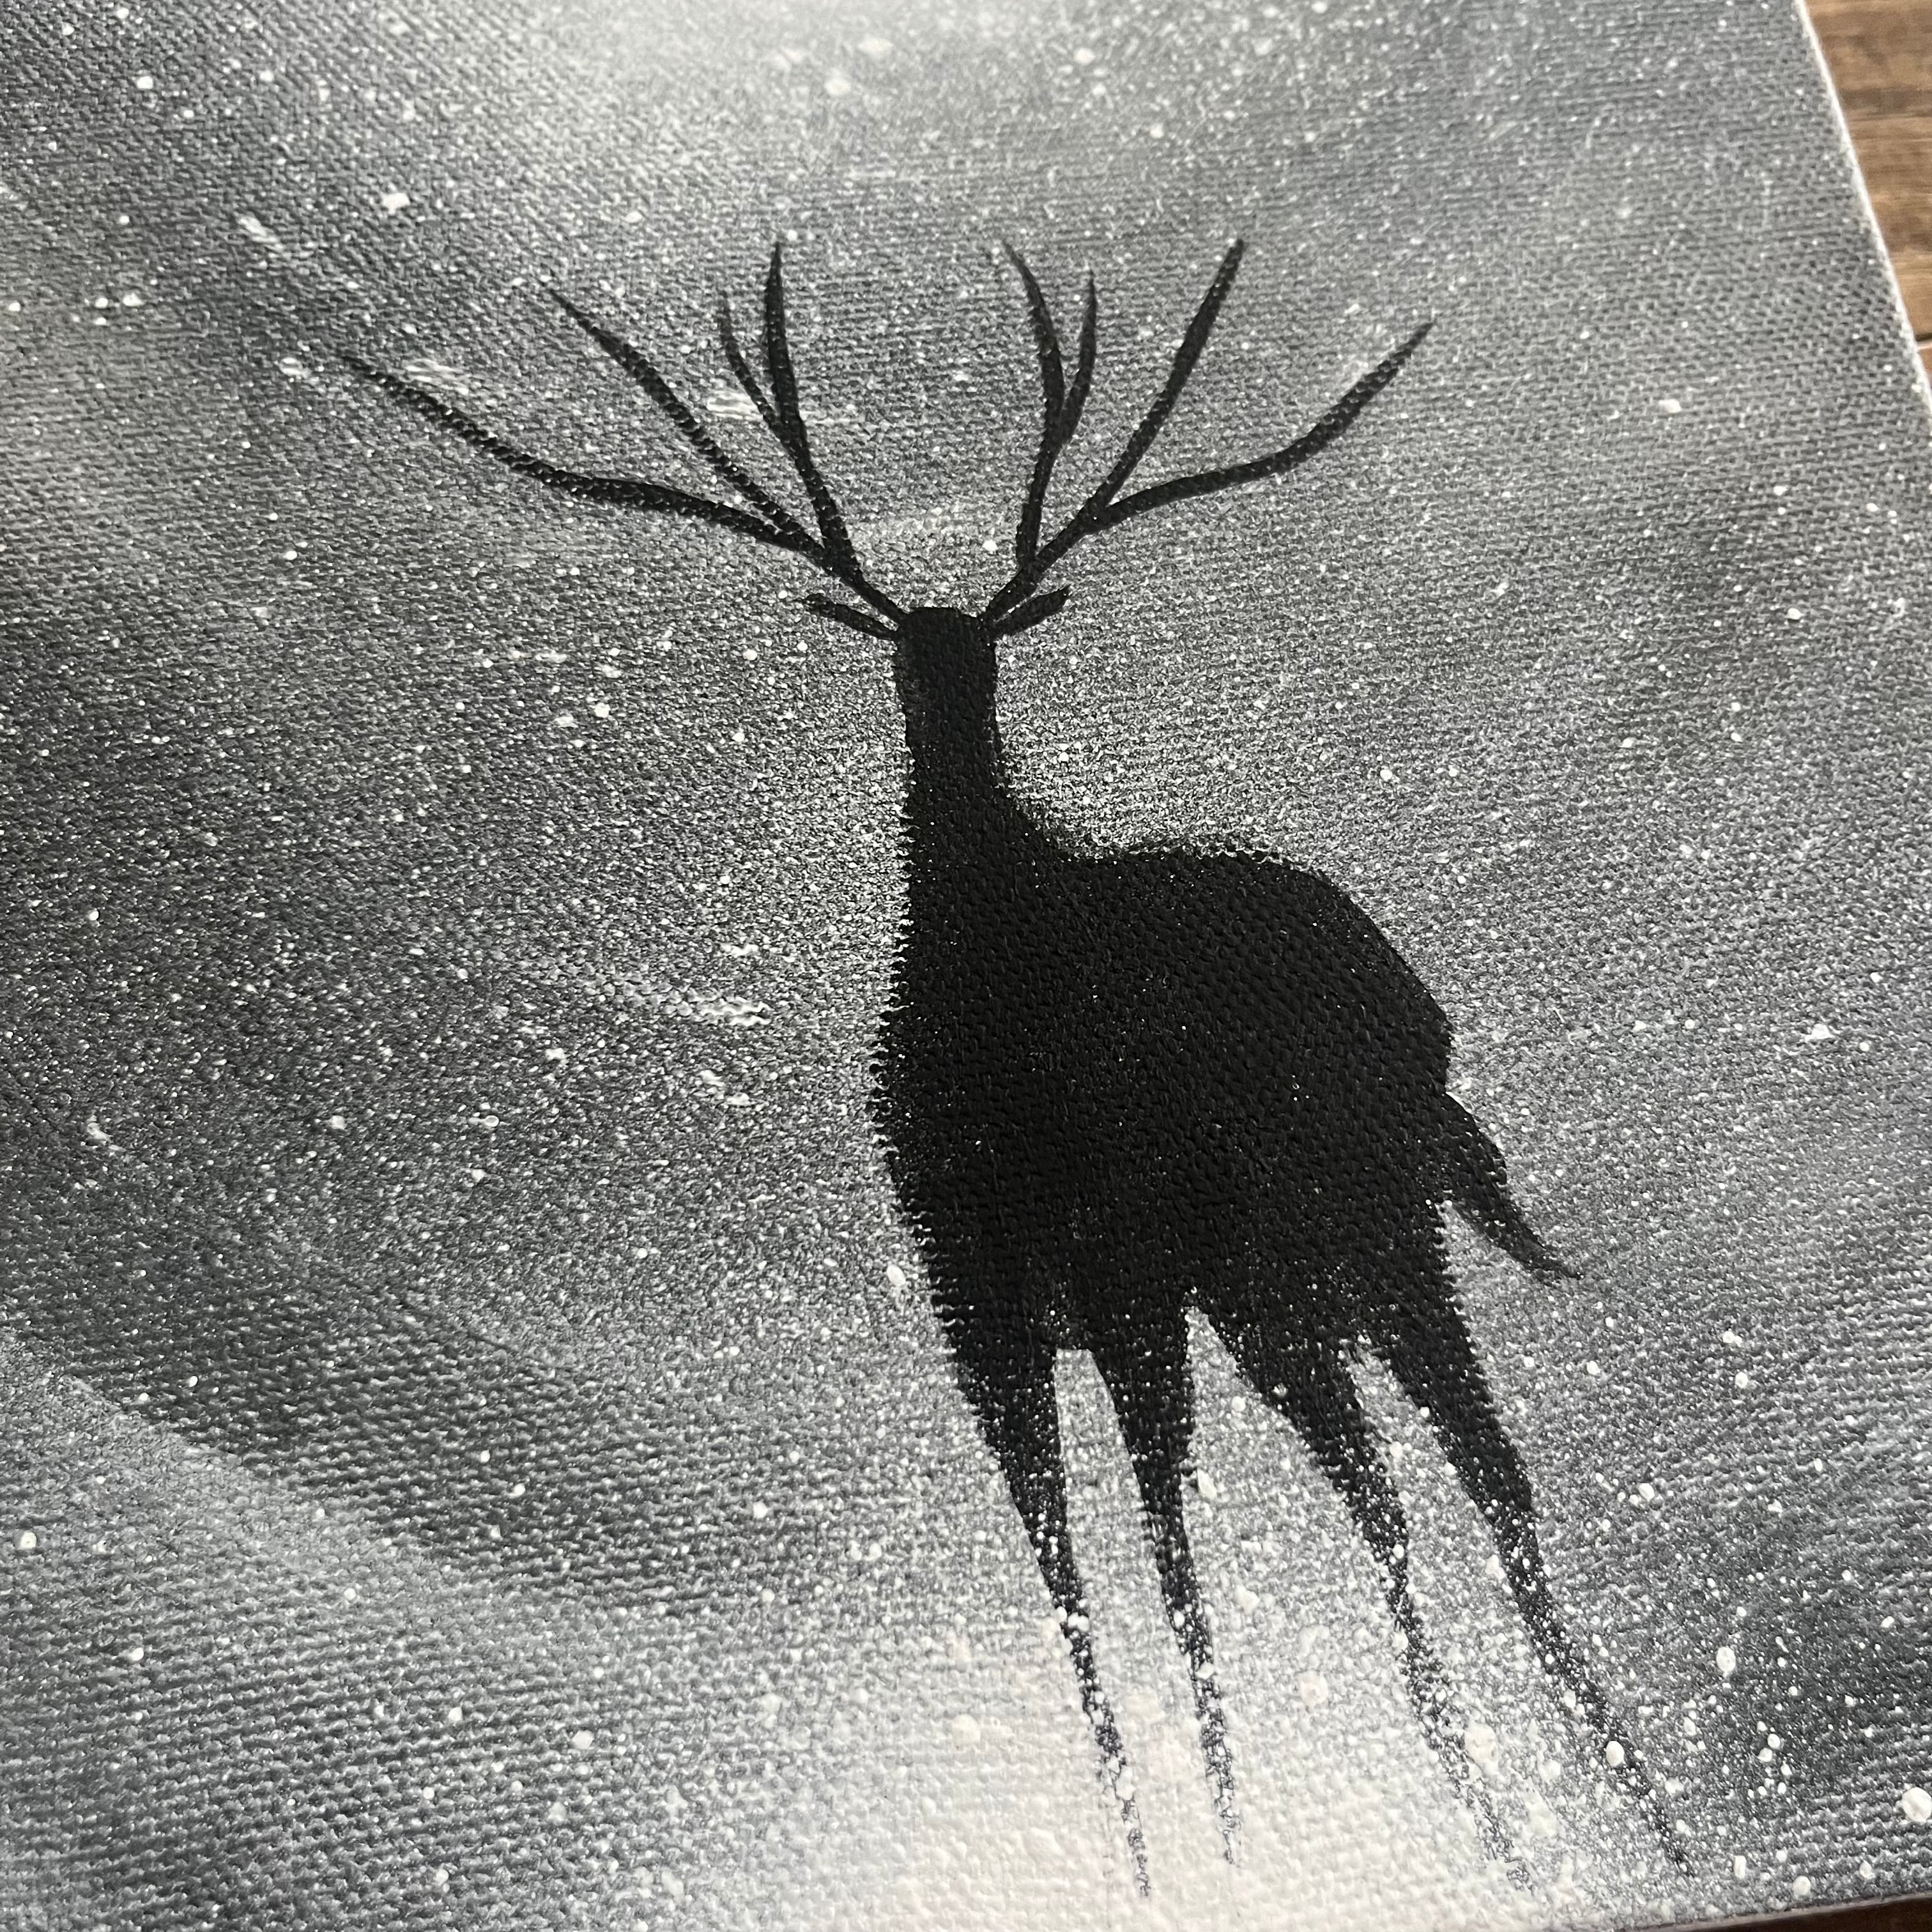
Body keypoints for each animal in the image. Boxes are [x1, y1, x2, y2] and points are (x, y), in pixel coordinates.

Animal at [347, 237, 1682, 1895]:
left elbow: (1160, 1539)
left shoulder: (1107, 1269)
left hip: (1353, 1233)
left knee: (1463, 1475)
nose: (942, 687)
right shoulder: (981, 1295)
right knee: (1398, 1484)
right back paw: (1539, 1804)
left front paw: (1221, 1833)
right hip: (1287, 1280)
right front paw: (1168, 1846)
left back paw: (1595, 1807)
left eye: (975, 651)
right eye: (917, 655)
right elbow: (1070, 1574)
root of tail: (1415, 1009)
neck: (984, 969)